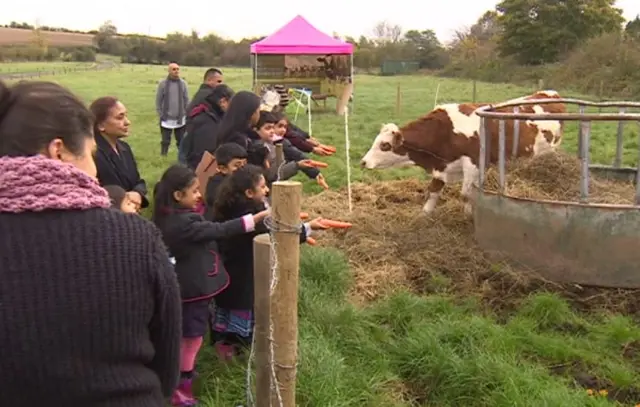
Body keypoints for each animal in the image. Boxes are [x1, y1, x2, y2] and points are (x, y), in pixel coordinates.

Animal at [360, 90, 564, 215]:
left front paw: (468, 216)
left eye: (384, 145)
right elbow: (433, 192)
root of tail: (548, 93)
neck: (445, 131)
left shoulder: (472, 164)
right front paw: (424, 215)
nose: (363, 162)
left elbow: (466, 195)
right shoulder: (442, 166)